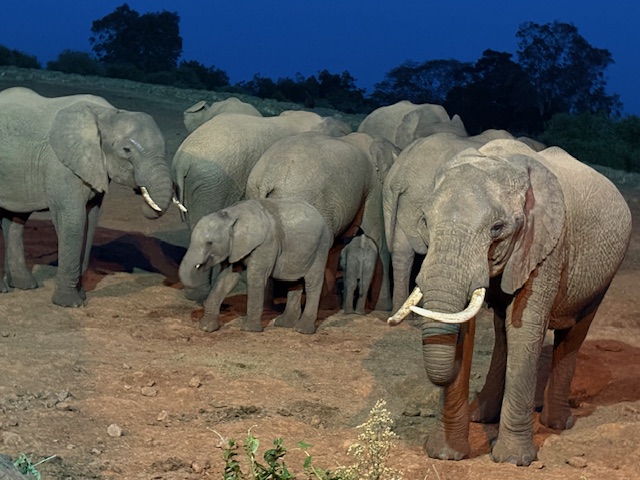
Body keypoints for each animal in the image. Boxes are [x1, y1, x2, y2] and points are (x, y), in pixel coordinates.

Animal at [0, 87, 173, 306]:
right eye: (126, 150)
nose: (141, 192)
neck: (107, 115)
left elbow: (90, 221)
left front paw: (81, 296)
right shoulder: (61, 166)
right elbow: (73, 220)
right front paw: (70, 304)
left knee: (15, 219)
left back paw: (24, 286)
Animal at [178, 199, 332, 334]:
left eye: (209, 243)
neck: (232, 214)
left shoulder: (267, 243)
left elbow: (255, 277)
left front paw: (249, 329)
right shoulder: (235, 246)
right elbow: (227, 278)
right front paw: (206, 328)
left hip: (321, 247)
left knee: (312, 282)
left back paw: (302, 330)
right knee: (293, 281)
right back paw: (284, 324)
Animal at [246, 131, 398, 312]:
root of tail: (267, 177)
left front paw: (328, 304)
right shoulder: (373, 187)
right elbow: (377, 237)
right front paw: (384, 308)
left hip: (256, 194)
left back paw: (267, 309)